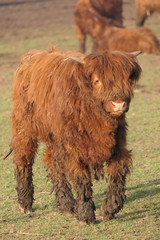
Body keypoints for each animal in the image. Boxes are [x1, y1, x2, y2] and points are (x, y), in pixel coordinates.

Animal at [10, 47, 141, 224]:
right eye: (97, 80)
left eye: (126, 79)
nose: (118, 105)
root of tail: (31, 55)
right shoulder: (73, 149)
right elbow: (82, 179)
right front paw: (86, 215)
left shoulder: (119, 145)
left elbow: (118, 173)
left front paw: (109, 209)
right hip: (24, 128)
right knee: (23, 159)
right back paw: (25, 204)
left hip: (54, 136)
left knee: (52, 161)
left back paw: (66, 204)